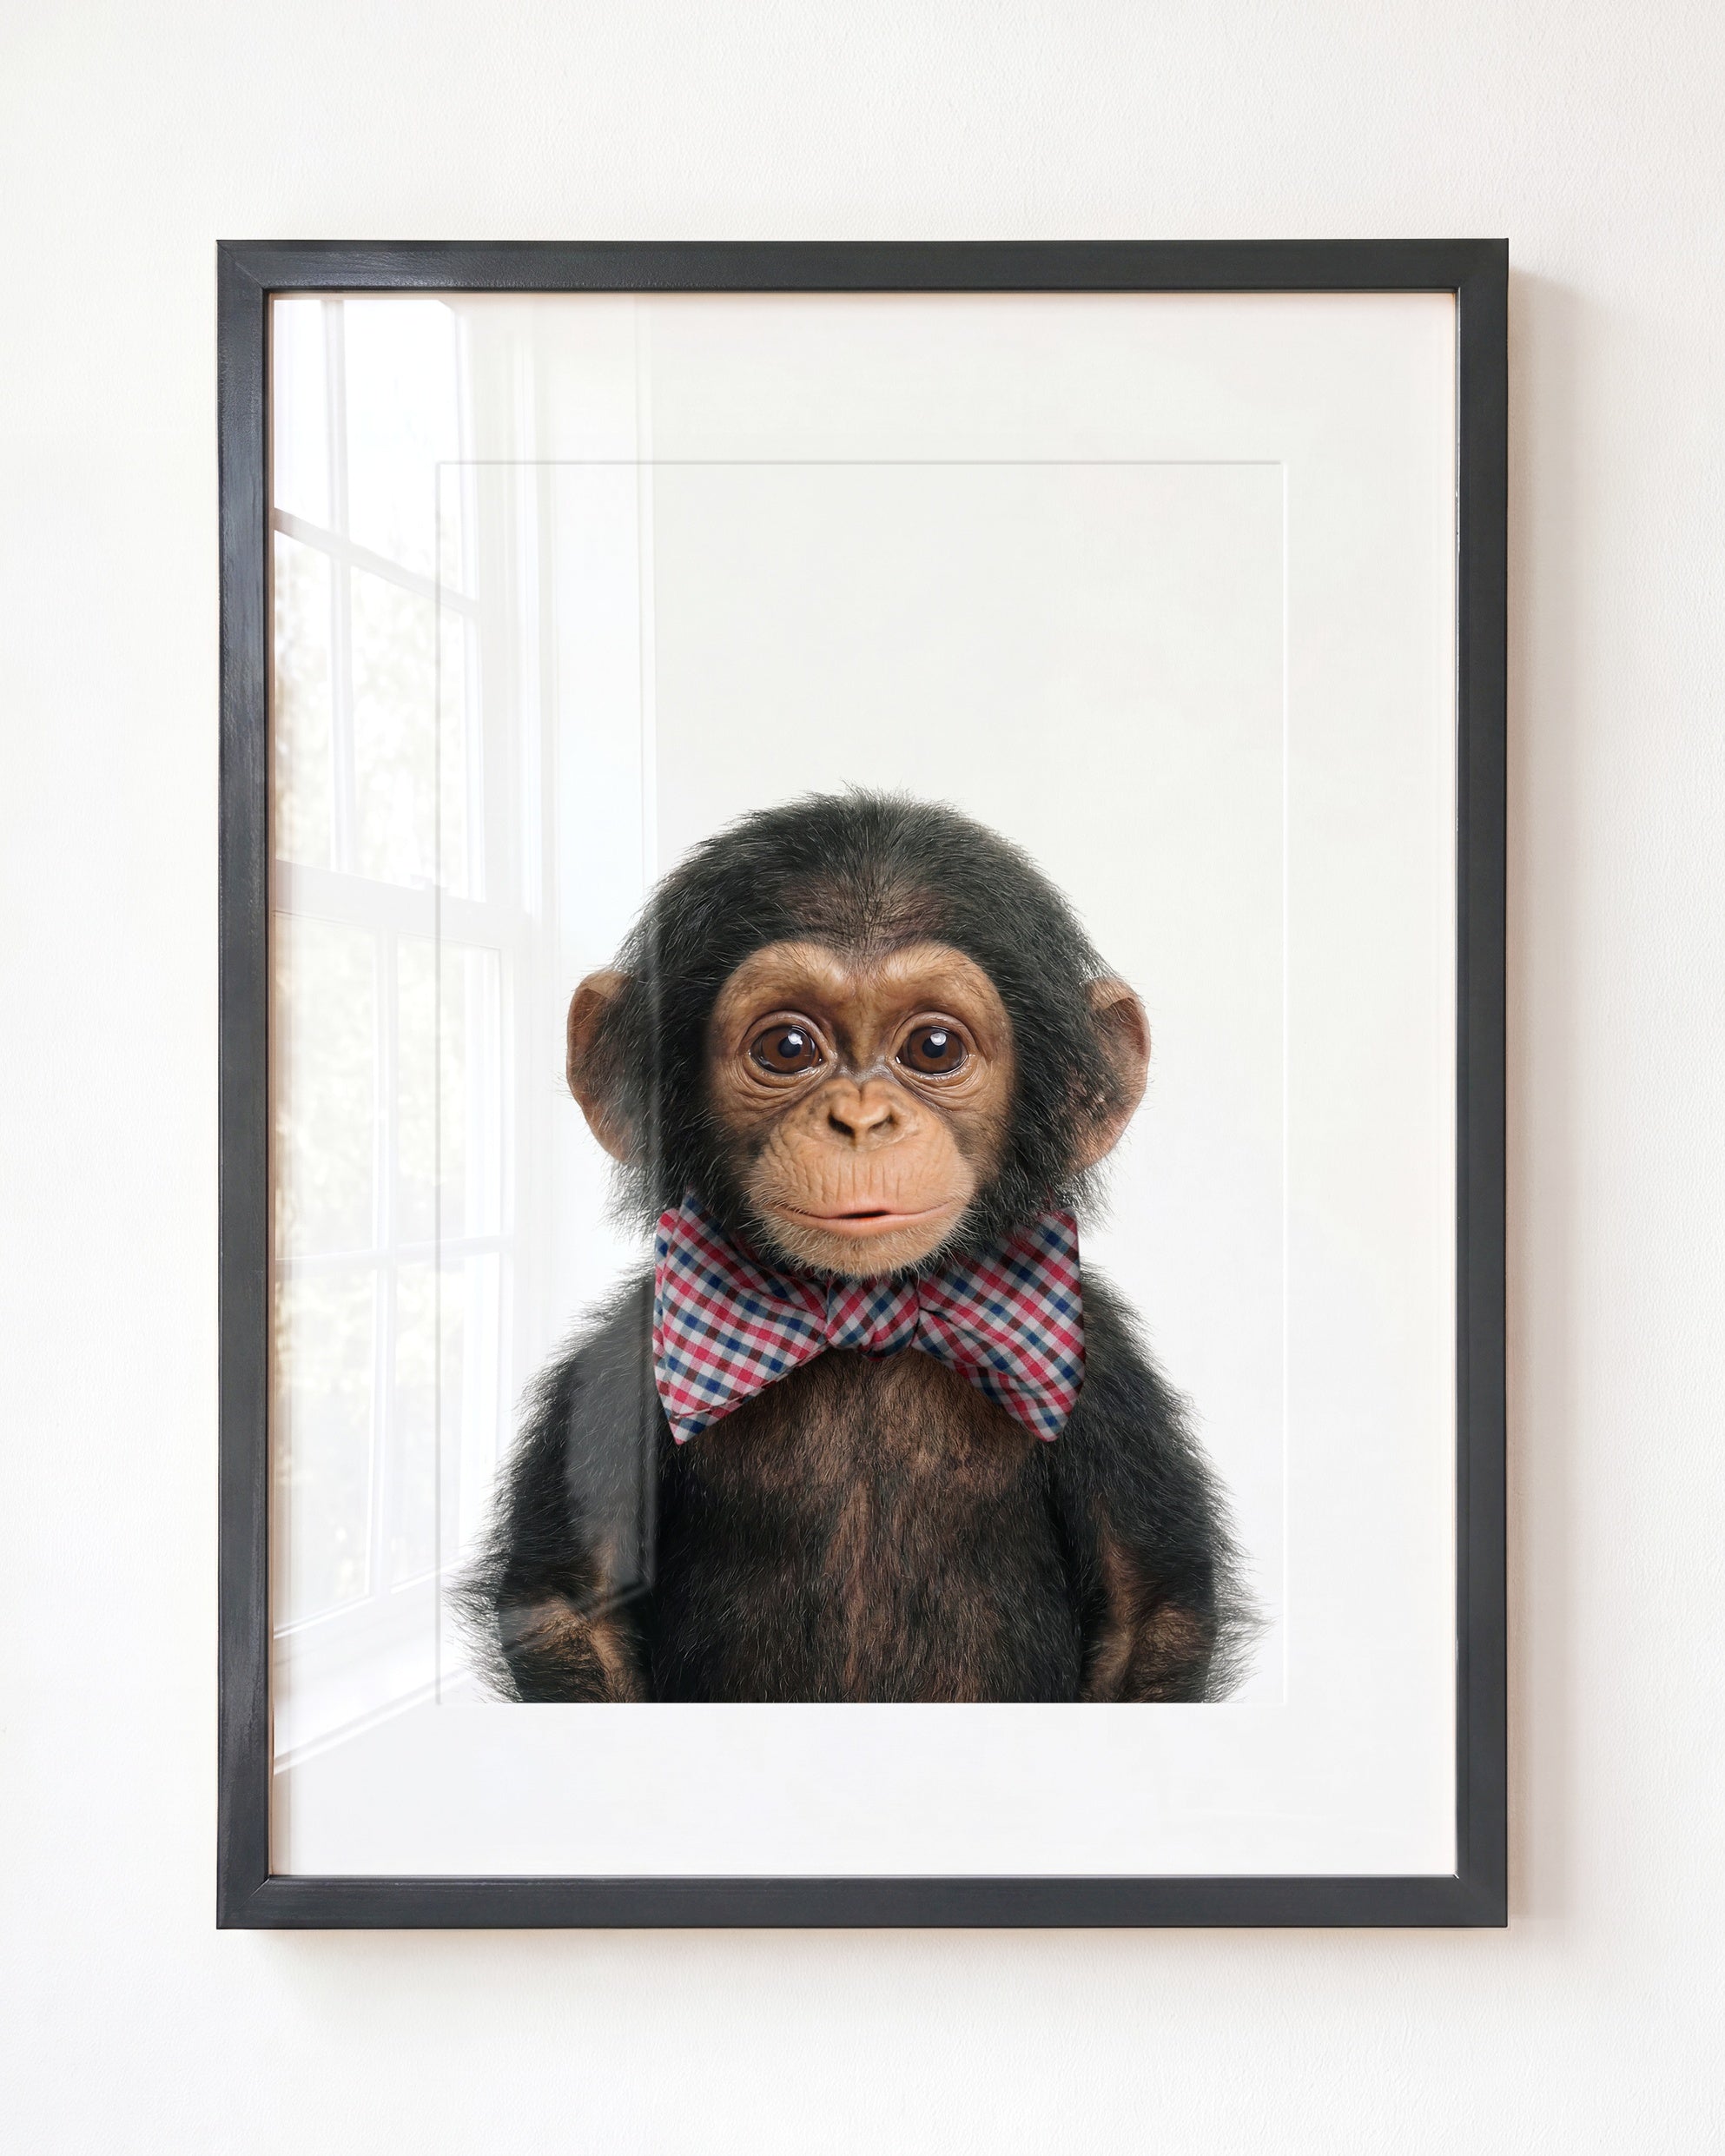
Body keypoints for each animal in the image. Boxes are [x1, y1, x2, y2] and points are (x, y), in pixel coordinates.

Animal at [457, 792, 1254, 1703]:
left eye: (934, 1048)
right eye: (787, 1047)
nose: (863, 1120)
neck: (865, 1315)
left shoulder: (1106, 1374)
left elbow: (1148, 1611)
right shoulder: (623, 1363)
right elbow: (570, 1606)